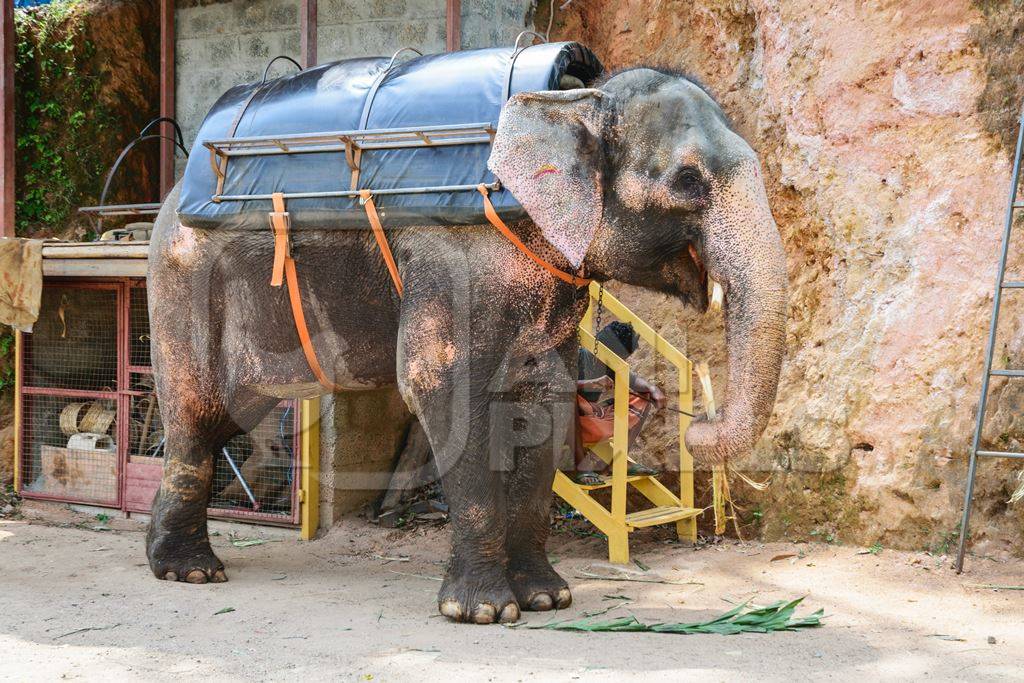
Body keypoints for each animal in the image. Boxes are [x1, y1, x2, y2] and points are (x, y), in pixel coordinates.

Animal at [144, 65, 786, 626]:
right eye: (688, 180)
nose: (694, 427)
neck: (573, 100)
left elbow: (547, 402)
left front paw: (547, 601)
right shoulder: (452, 261)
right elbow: (444, 394)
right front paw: (482, 613)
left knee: (228, 417)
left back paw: (170, 556)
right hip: (184, 285)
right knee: (199, 414)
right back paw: (191, 572)